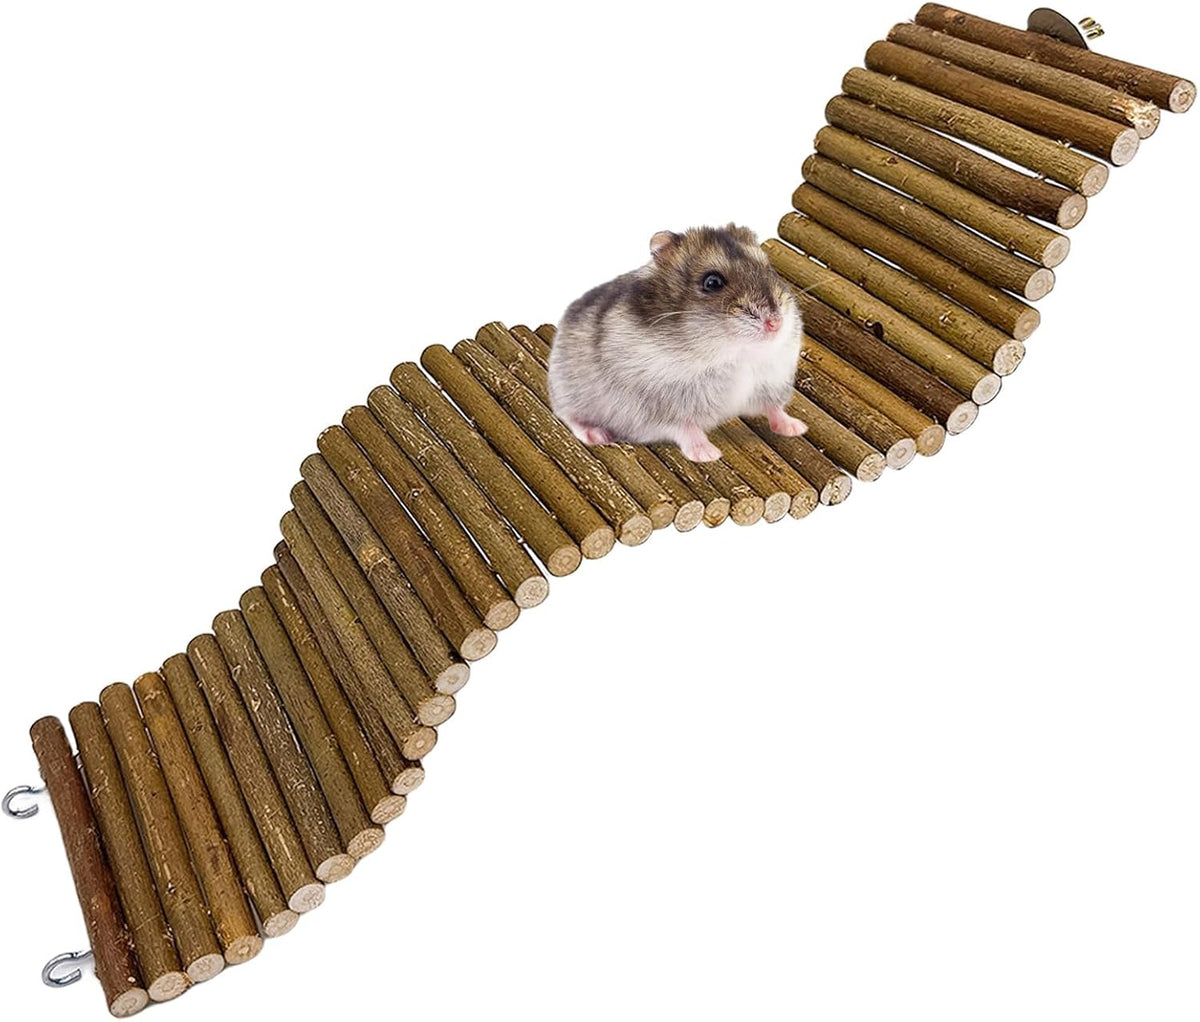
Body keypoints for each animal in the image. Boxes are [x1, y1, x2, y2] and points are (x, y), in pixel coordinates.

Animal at [547, 224, 806, 462]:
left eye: (768, 269)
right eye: (712, 282)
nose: (775, 323)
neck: (733, 353)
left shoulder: (769, 382)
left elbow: (774, 408)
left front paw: (797, 428)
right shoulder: (658, 406)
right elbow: (685, 427)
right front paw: (708, 454)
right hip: (568, 391)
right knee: (567, 415)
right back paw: (597, 435)